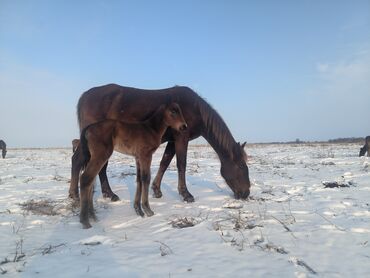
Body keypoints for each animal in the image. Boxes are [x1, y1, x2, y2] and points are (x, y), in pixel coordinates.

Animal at [69, 83, 250, 203]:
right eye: (241, 166)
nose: (246, 193)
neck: (195, 109)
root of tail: (85, 96)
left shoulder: (172, 141)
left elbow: (165, 163)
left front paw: (156, 190)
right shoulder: (181, 137)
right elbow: (181, 164)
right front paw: (186, 194)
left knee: (100, 167)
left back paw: (108, 194)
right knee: (78, 160)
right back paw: (75, 195)